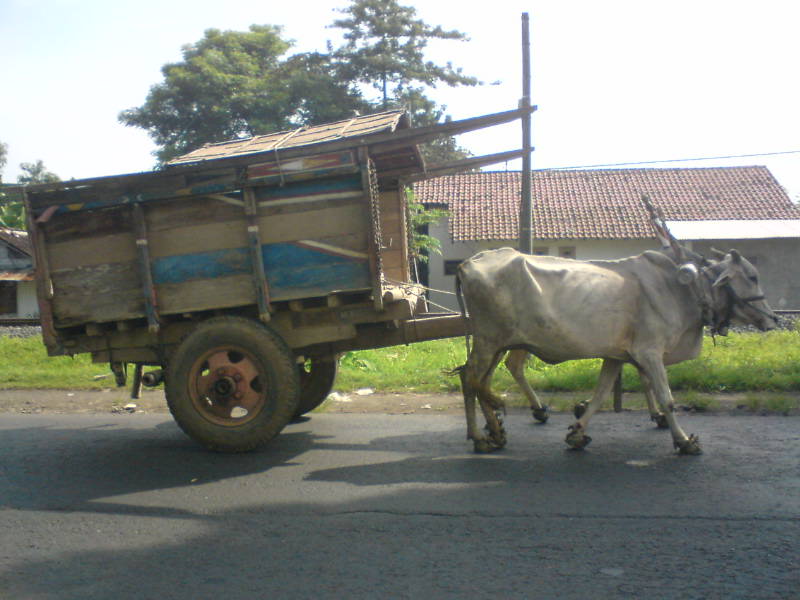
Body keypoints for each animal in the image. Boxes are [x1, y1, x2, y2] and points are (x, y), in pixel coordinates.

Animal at [456, 244, 776, 454]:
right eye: (752, 276)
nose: (774, 319)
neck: (682, 291)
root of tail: (469, 263)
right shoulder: (650, 352)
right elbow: (667, 399)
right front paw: (684, 441)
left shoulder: (615, 356)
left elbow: (600, 395)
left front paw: (577, 432)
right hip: (488, 340)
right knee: (471, 378)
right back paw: (481, 435)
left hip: (498, 344)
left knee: (479, 380)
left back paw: (494, 431)